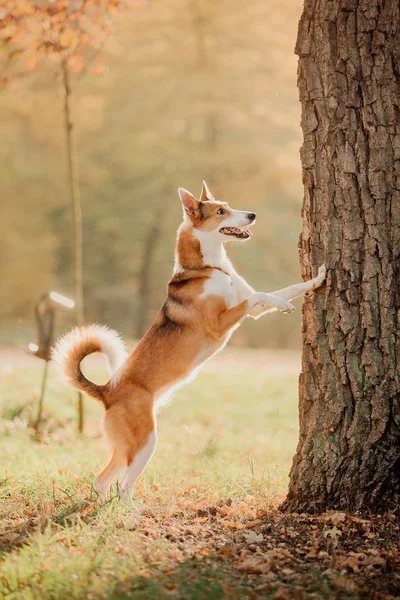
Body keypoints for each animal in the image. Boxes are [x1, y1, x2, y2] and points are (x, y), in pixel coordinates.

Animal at [51, 180, 326, 504]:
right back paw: (132, 511)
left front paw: (318, 279)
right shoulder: (220, 323)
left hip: (128, 448)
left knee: (102, 480)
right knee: (123, 485)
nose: (253, 215)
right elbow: (261, 296)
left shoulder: (252, 310)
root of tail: (107, 391)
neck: (212, 267)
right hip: (145, 442)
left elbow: (285, 289)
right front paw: (285, 305)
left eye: (227, 205)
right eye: (220, 212)